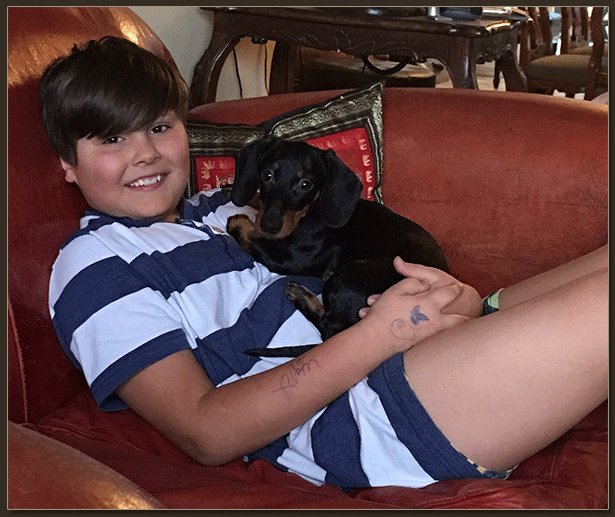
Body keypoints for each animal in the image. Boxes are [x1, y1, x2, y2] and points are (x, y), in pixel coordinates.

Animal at [226, 136, 448, 356]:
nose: (269, 226)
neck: (313, 210)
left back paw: (301, 295)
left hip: (350, 275)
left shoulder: (290, 259)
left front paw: (240, 223)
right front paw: (235, 191)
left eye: (305, 184)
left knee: (328, 327)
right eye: (267, 175)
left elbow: (250, 238)